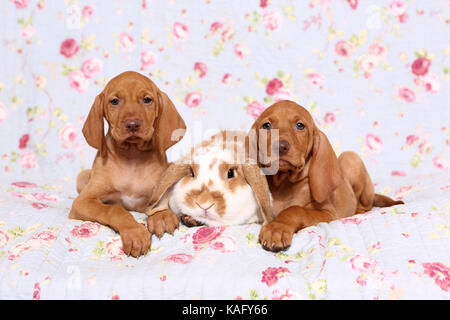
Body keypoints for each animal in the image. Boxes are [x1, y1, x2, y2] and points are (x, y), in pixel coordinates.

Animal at [68, 70, 185, 258]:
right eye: (115, 101)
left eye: (147, 99)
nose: (132, 124)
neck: (132, 156)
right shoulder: (83, 202)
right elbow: (114, 210)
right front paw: (134, 232)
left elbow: (159, 202)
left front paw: (161, 216)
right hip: (82, 177)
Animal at [250, 100, 404, 252]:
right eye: (266, 125)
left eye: (300, 125)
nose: (280, 146)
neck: (284, 182)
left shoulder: (328, 213)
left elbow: (296, 210)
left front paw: (278, 227)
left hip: (350, 158)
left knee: (365, 205)